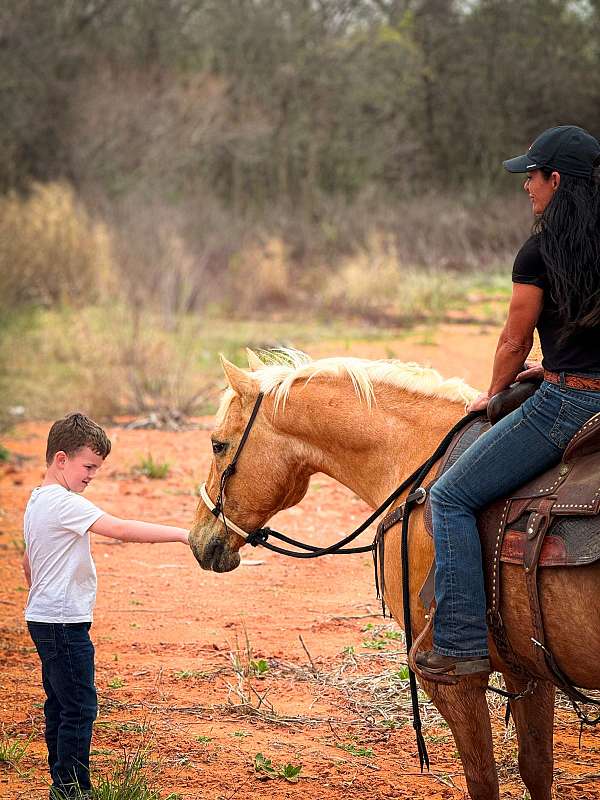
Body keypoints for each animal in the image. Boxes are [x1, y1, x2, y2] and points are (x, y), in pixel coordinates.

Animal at [189, 352, 600, 800]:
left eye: (217, 444)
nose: (197, 540)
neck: (419, 461)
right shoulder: (527, 667)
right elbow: (537, 768)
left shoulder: (453, 679)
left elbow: (483, 780)